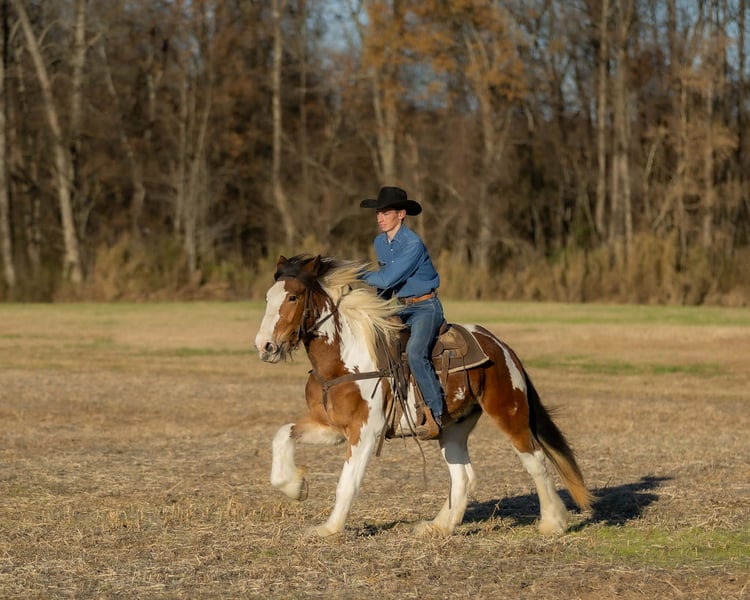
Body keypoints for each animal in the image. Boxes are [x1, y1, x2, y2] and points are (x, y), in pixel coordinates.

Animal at [254, 254, 593, 538]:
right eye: (267, 297)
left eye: (293, 296)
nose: (265, 346)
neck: (344, 358)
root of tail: (500, 345)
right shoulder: (333, 427)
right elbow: (282, 434)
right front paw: (296, 486)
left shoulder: (365, 431)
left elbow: (347, 483)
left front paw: (329, 529)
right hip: (453, 428)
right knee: (463, 475)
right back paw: (439, 526)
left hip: (509, 412)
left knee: (535, 460)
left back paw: (553, 523)